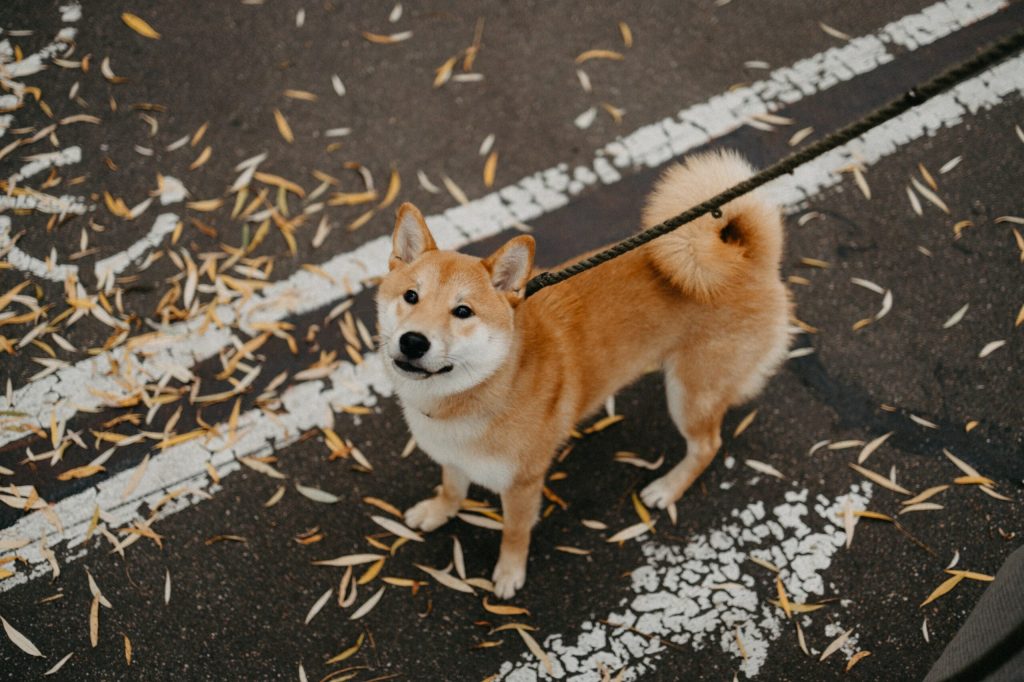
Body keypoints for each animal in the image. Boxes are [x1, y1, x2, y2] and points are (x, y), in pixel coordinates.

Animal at [376, 150, 790, 593]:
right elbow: (452, 489)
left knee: (707, 446)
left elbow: (515, 532)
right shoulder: (452, 460)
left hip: (690, 394)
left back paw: (667, 488)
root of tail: (747, 259)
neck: (479, 391)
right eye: (411, 296)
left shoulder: (523, 484)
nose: (413, 342)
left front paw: (509, 572)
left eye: (463, 311)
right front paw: (438, 511)